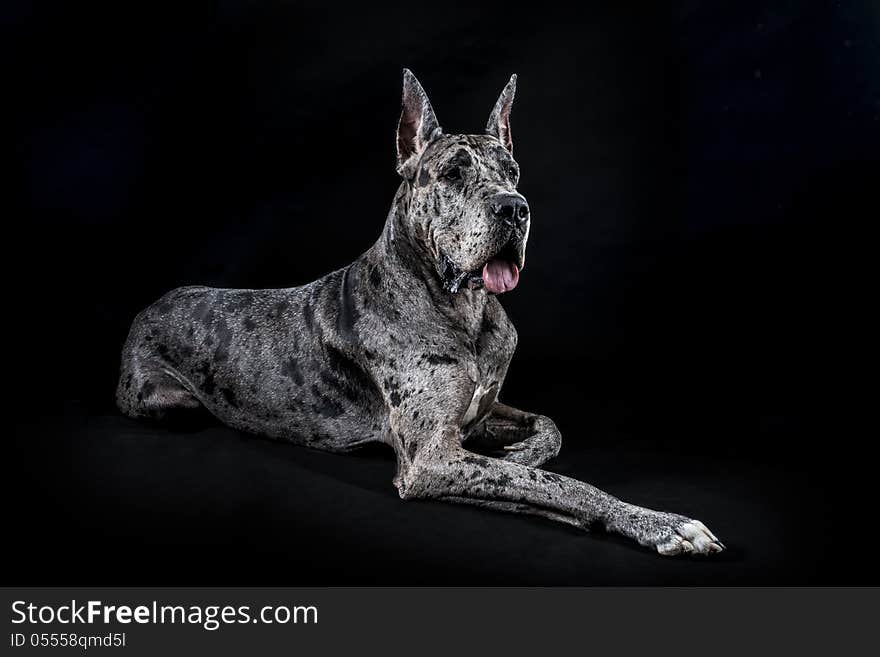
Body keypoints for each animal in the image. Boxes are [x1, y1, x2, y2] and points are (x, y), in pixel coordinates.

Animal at [117, 70, 720, 552]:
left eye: (513, 171)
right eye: (453, 173)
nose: (514, 208)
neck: (462, 308)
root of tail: (152, 303)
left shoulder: (476, 414)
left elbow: (546, 431)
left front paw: (521, 453)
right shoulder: (431, 457)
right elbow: (563, 485)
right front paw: (659, 522)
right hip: (160, 402)